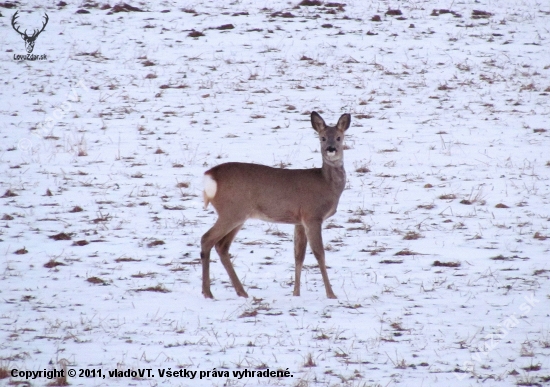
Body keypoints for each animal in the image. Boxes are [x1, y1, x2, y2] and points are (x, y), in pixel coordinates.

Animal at [201, 112, 352, 300]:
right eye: (322, 138)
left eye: (339, 137)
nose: (331, 149)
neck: (327, 184)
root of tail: (210, 176)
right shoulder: (312, 215)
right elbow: (319, 254)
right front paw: (331, 294)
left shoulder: (299, 220)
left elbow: (298, 256)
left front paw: (296, 293)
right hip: (231, 211)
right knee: (206, 239)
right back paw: (208, 293)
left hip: (238, 215)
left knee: (221, 246)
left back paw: (242, 292)